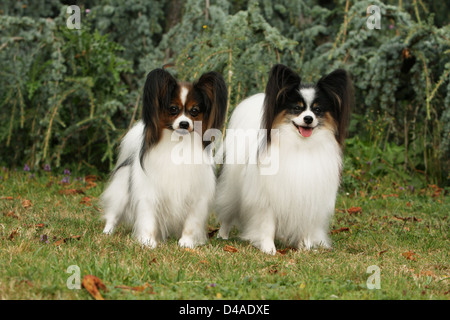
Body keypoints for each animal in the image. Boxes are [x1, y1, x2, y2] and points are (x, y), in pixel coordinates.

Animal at [102, 67, 229, 248]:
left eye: (194, 111)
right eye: (173, 109)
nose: (184, 124)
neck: (179, 144)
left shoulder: (197, 196)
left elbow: (191, 223)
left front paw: (186, 243)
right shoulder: (149, 193)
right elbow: (148, 220)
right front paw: (148, 242)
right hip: (121, 193)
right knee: (113, 214)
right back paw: (107, 232)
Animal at [216, 63, 354, 254]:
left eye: (317, 110)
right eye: (297, 108)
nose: (308, 118)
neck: (300, 145)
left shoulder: (308, 196)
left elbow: (305, 227)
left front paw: (305, 247)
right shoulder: (267, 198)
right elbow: (267, 225)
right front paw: (269, 249)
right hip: (231, 188)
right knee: (227, 212)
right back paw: (222, 235)